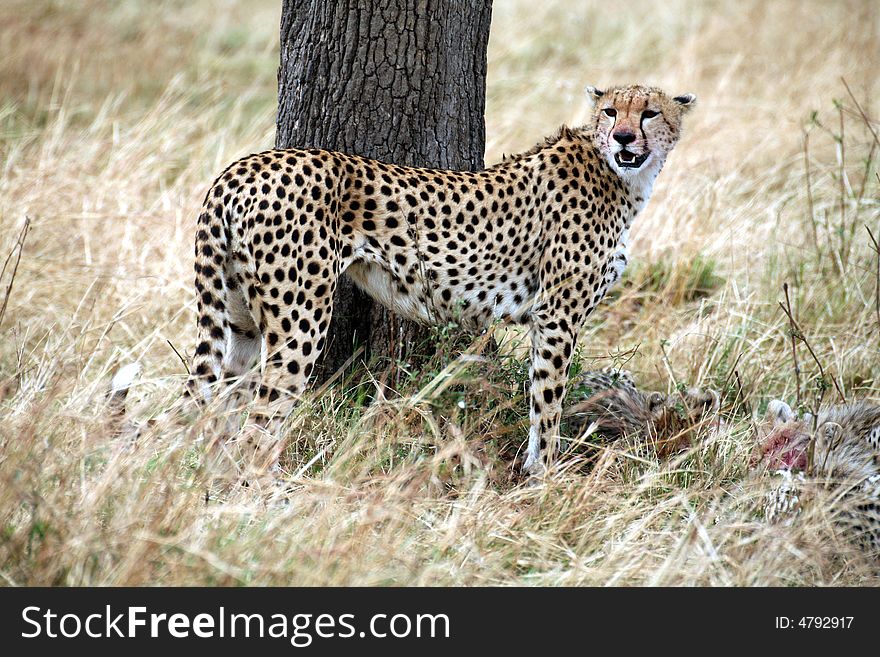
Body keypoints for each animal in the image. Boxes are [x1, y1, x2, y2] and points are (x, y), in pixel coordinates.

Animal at [191, 86, 696, 476]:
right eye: (610, 111)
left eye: (649, 112)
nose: (624, 136)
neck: (622, 176)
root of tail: (244, 166)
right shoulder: (557, 315)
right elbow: (549, 401)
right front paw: (548, 477)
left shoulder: (547, 317)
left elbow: (540, 396)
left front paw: (535, 471)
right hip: (301, 320)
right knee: (258, 425)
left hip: (240, 320)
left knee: (220, 413)